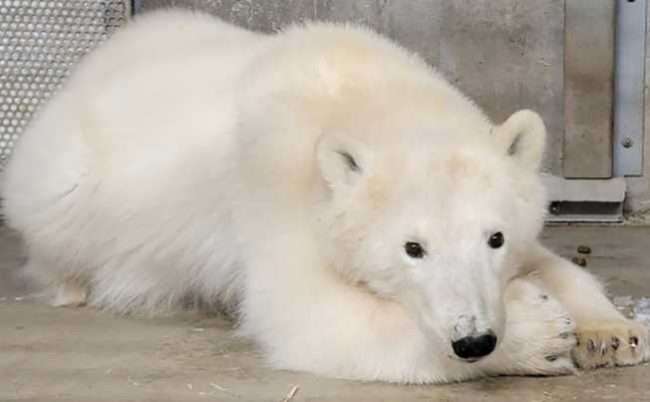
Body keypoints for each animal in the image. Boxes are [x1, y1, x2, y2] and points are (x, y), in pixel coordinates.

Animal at [2, 7, 644, 382]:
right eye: (413, 248)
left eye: (495, 237)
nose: (474, 339)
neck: (367, 96)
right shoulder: (276, 192)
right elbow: (309, 316)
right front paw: (541, 333)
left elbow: (552, 260)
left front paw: (609, 332)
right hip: (64, 191)